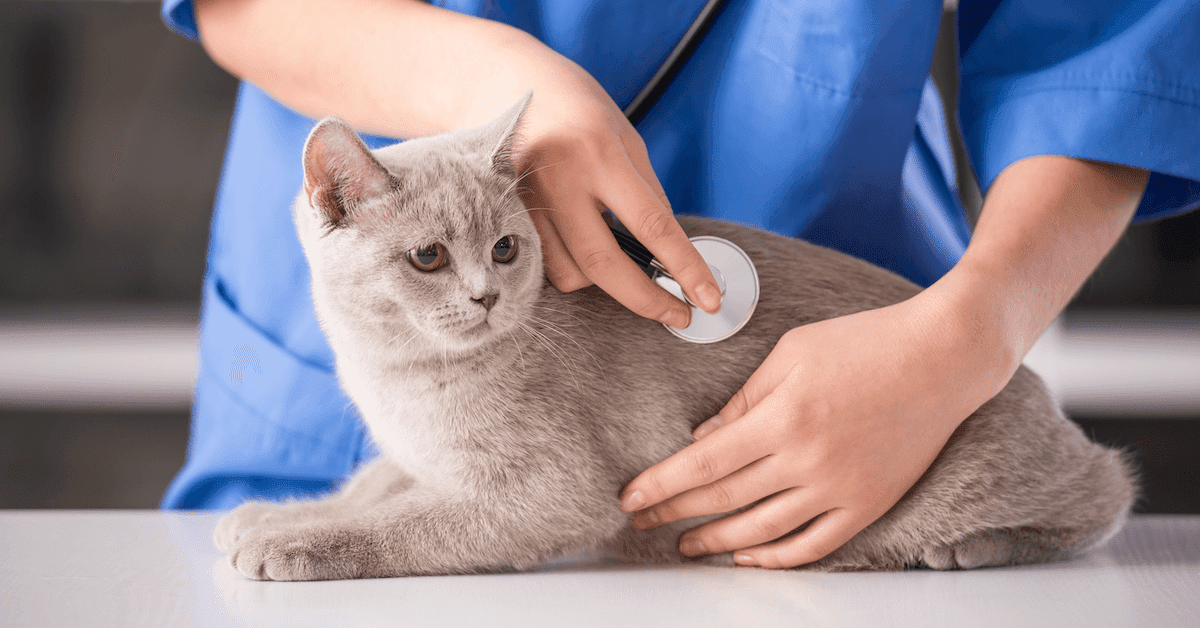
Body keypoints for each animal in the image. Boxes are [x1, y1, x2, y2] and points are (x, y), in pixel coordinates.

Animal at [211, 96, 1137, 583]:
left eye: (505, 248)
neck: (398, 376)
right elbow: (373, 487)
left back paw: (969, 548)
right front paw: (268, 513)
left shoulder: (550, 494)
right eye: (429, 257)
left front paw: (287, 544)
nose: (486, 295)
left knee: (1106, 490)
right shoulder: (413, 455)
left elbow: (405, 525)